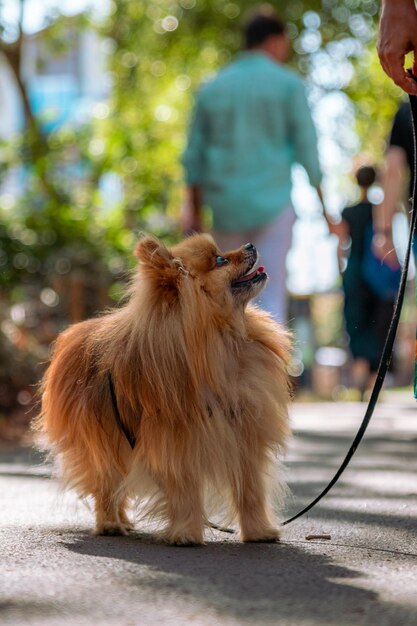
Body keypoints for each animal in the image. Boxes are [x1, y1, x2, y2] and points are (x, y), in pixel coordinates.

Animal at [35, 233, 290, 540]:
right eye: (220, 260)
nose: (250, 245)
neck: (221, 340)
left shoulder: (244, 435)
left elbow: (250, 491)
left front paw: (258, 531)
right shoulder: (175, 440)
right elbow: (183, 490)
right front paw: (186, 534)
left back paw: (123, 521)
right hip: (104, 437)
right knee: (107, 484)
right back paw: (109, 524)